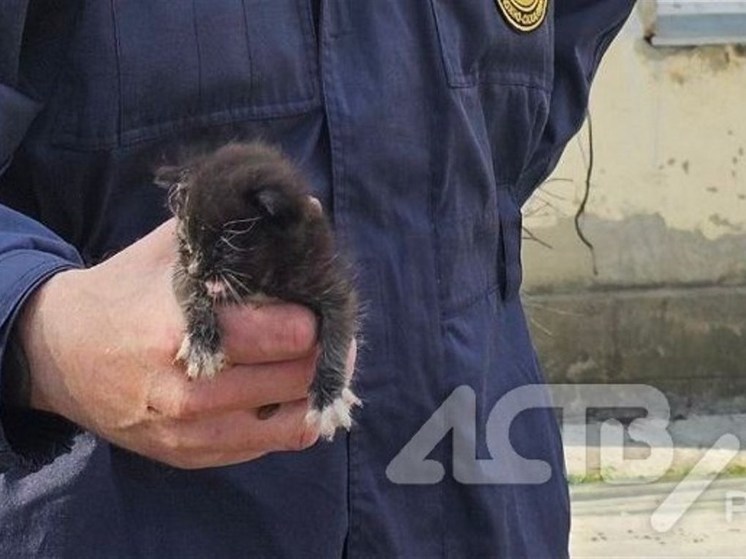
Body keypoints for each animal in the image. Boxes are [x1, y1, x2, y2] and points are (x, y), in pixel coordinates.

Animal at [154, 142, 358, 440]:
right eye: (187, 240)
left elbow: (338, 329)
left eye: (225, 243)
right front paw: (202, 346)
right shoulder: (180, 273)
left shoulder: (326, 278)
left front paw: (328, 400)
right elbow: (193, 294)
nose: (195, 269)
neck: (258, 282)